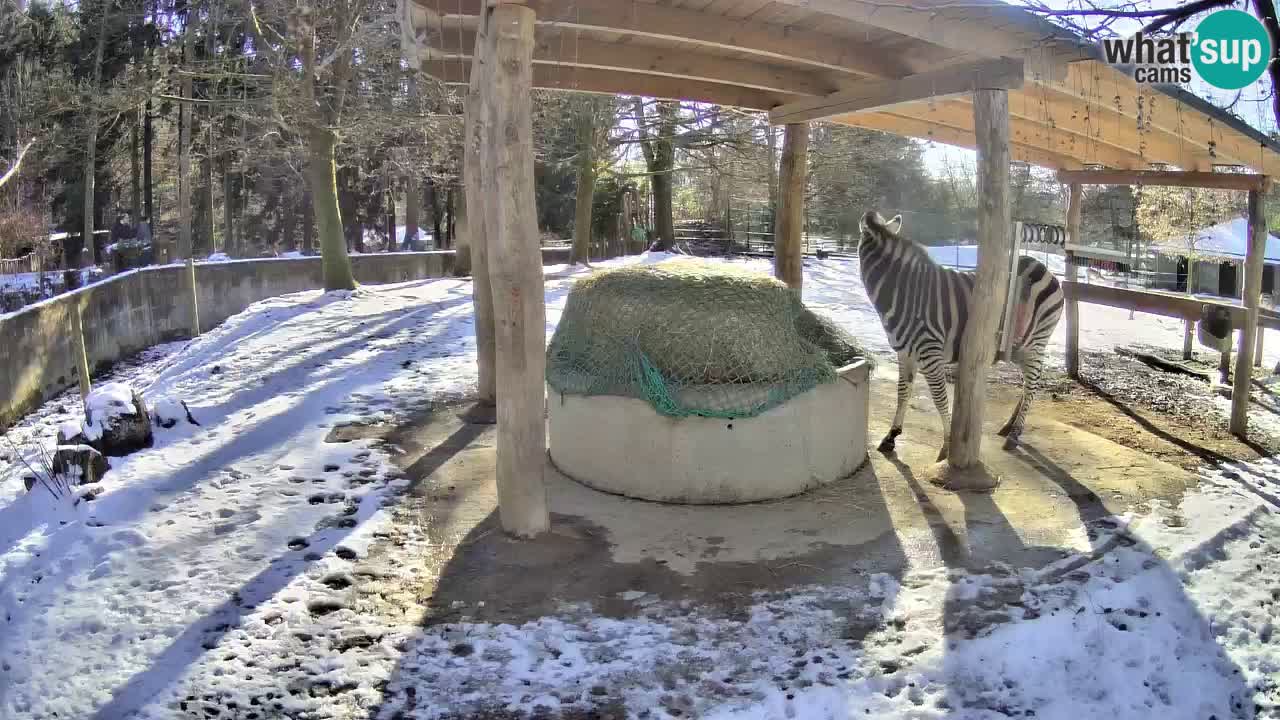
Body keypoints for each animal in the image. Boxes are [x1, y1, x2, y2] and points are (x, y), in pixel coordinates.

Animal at [865, 210, 1064, 461]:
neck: (901, 292)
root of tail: (1042, 267)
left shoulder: (930, 352)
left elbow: (940, 398)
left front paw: (947, 446)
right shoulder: (905, 353)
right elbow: (903, 392)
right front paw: (891, 436)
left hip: (1035, 341)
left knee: (1032, 383)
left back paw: (1014, 435)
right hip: (1022, 346)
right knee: (1031, 381)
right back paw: (1010, 425)